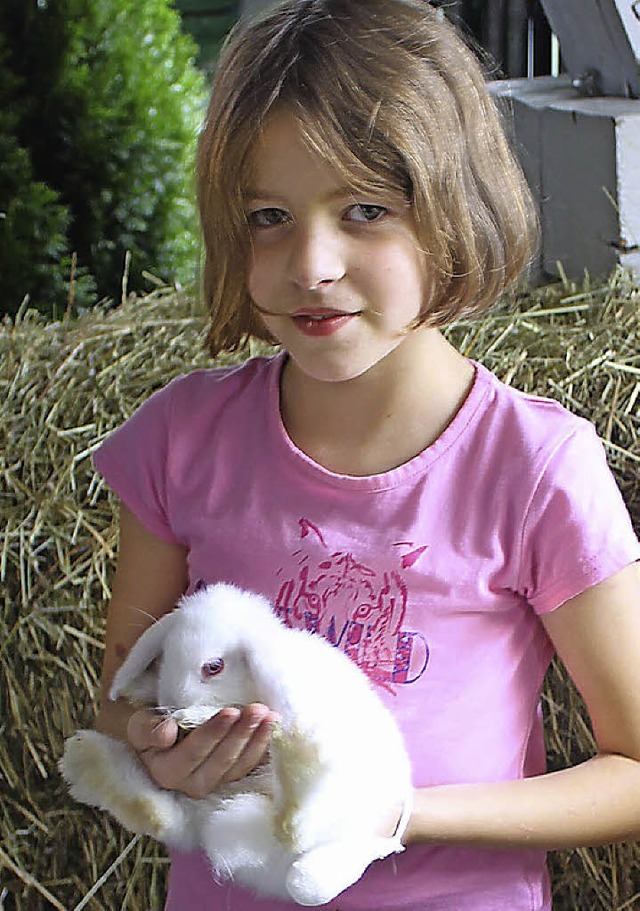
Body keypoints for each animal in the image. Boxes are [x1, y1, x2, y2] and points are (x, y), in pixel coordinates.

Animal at [58, 584, 410, 904]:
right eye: (165, 656)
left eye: (214, 667)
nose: (172, 702)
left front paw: (196, 716)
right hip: (206, 817)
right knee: (164, 815)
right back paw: (83, 761)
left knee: (306, 861)